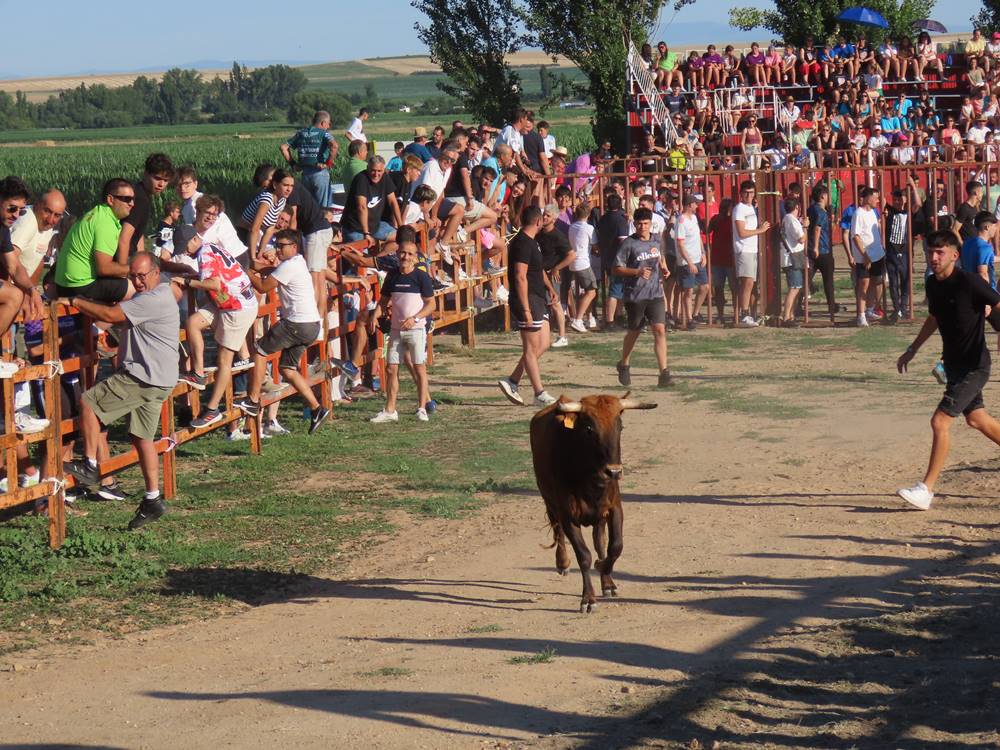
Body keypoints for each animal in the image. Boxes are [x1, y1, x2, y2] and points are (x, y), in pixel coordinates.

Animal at [528, 394, 660, 612]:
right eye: (589, 429)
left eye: (620, 426)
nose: (614, 471)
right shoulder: (567, 515)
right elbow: (584, 555)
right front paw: (588, 599)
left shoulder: (614, 509)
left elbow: (614, 547)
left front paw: (604, 570)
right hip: (548, 500)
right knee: (558, 530)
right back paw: (563, 563)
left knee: (600, 541)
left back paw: (607, 582)